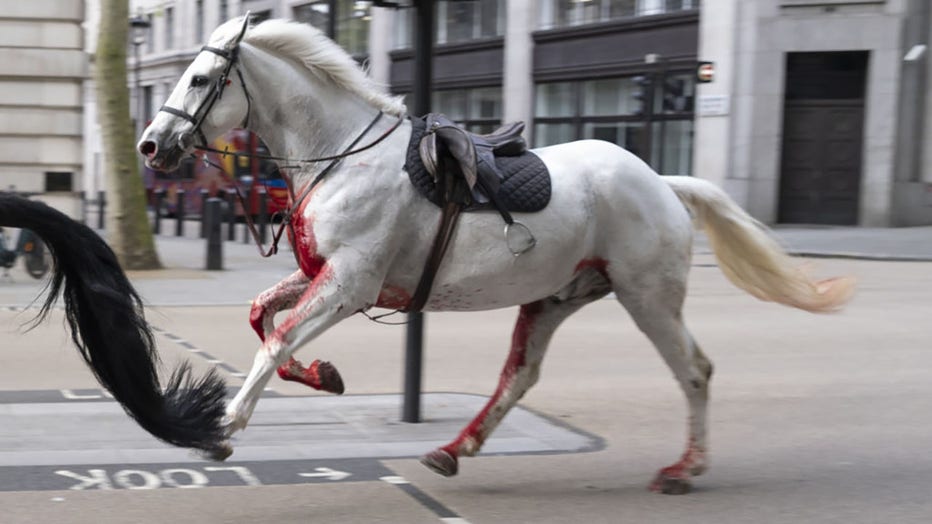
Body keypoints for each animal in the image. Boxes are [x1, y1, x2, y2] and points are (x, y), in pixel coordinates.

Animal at [135, 17, 856, 496]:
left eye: (201, 78)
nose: (149, 145)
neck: (342, 156)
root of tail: (661, 181)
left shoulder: (349, 283)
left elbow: (276, 339)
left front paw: (225, 427)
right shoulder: (324, 276)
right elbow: (263, 317)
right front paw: (323, 375)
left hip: (647, 296)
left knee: (695, 371)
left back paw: (685, 468)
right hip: (555, 298)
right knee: (520, 376)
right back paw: (457, 449)